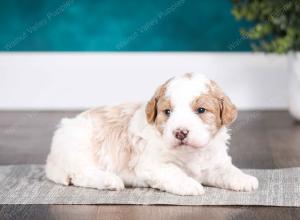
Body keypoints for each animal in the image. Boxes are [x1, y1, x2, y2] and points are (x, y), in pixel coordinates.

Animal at [46, 74, 258, 196]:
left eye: (201, 110)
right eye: (167, 112)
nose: (180, 132)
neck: (190, 154)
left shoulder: (214, 162)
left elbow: (227, 170)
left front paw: (244, 179)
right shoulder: (152, 165)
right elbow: (173, 172)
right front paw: (189, 185)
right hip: (80, 146)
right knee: (79, 174)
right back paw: (109, 181)